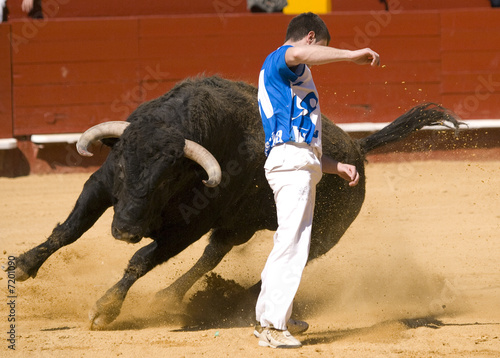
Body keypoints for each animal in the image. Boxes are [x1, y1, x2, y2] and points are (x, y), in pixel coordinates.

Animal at [11, 76, 460, 330]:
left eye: (167, 177)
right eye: (122, 164)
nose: (125, 230)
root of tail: (359, 150)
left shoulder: (186, 227)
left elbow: (140, 261)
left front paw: (105, 310)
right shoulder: (101, 187)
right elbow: (69, 230)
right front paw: (22, 266)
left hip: (321, 234)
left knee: (280, 265)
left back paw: (227, 303)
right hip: (238, 225)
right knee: (215, 253)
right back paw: (169, 298)